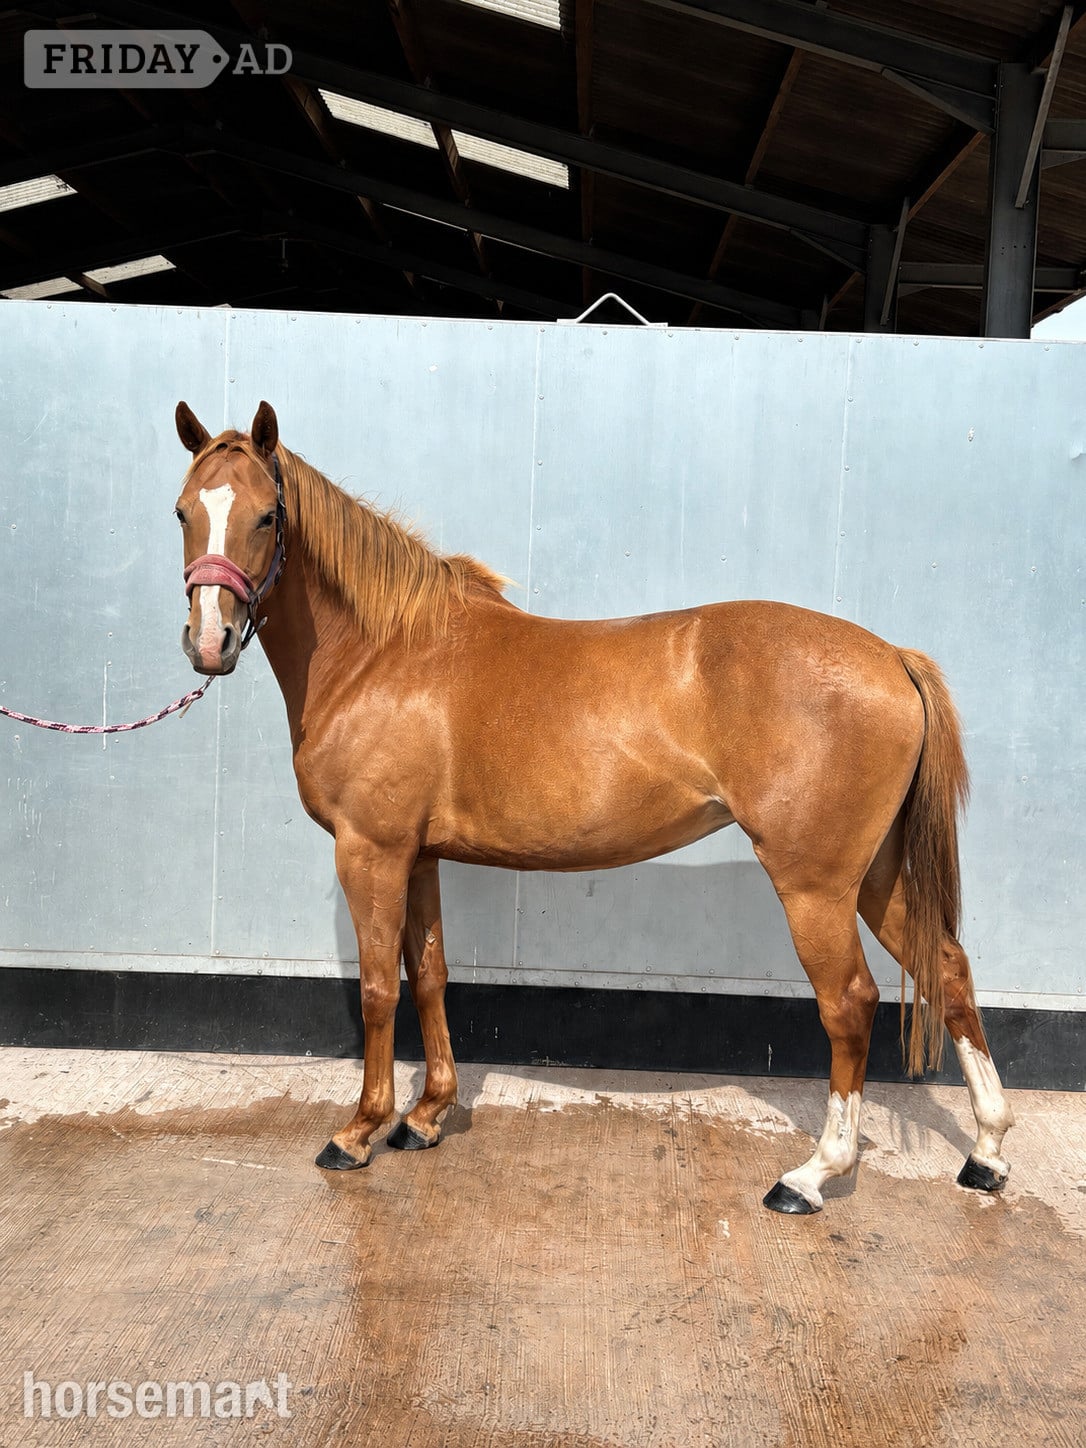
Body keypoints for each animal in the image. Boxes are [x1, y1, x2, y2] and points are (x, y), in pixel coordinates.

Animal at [173, 399, 1014, 1215]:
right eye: (183, 510)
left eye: (267, 517)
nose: (210, 642)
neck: (385, 654)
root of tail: (893, 657)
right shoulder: (418, 857)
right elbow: (432, 973)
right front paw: (427, 1116)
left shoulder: (370, 850)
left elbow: (381, 986)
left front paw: (358, 1132)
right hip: (873, 876)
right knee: (948, 969)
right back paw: (987, 1153)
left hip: (816, 884)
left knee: (850, 1002)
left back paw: (810, 1175)